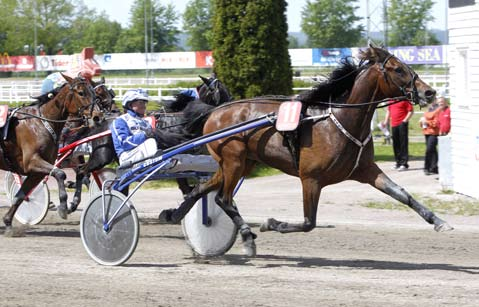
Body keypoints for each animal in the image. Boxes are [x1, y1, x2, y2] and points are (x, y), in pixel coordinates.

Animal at [0, 74, 96, 236]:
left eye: (93, 93)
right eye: (81, 93)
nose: (97, 116)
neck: (41, 122)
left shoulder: (36, 170)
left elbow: (21, 195)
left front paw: (8, 223)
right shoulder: (32, 162)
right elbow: (60, 174)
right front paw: (63, 207)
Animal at [160, 46, 454, 258]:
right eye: (397, 69)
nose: (429, 92)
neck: (338, 120)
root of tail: (215, 111)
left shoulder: (367, 170)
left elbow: (403, 194)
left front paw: (439, 221)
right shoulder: (310, 178)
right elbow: (308, 222)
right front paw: (271, 223)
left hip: (241, 163)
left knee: (203, 190)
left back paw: (176, 214)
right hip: (233, 160)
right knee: (223, 198)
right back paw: (246, 237)